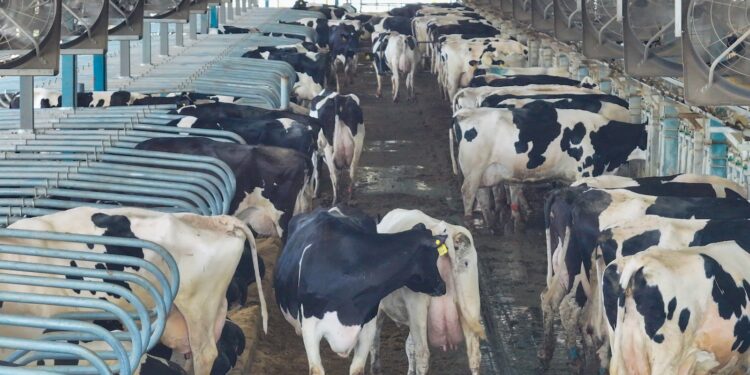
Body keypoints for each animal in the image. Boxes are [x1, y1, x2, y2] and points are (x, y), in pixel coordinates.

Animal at [276, 207, 450, 375]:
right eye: (435, 255)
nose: (442, 286)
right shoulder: (310, 328)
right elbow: (316, 369)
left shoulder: (367, 328)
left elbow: (358, 369)